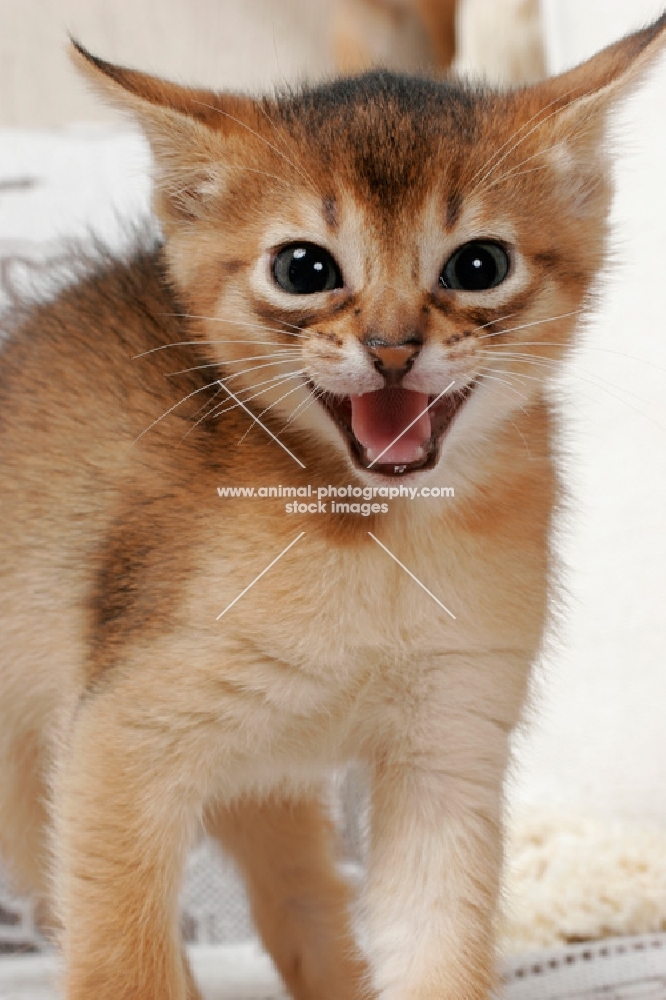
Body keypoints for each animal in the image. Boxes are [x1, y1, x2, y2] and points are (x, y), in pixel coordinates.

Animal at [0, 13, 660, 1000]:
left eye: (480, 265)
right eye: (304, 268)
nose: (392, 349)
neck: (375, 538)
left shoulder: (447, 753)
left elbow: (434, 952)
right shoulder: (116, 741)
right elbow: (123, 962)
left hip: (262, 781)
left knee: (299, 895)